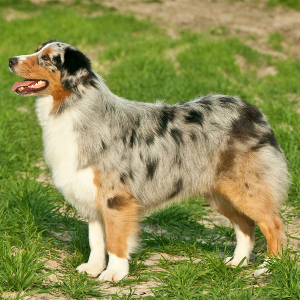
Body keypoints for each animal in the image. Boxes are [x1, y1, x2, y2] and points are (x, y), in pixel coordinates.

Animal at [8, 39, 288, 282]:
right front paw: (93, 268)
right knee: (246, 225)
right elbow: (96, 240)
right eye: (37, 50)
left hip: (246, 189)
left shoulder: (115, 199)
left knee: (273, 225)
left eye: (46, 58)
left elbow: (115, 241)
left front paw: (114, 274)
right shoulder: (92, 196)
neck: (74, 107)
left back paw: (269, 268)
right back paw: (238, 262)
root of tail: (252, 110)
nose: (10, 59)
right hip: (220, 192)